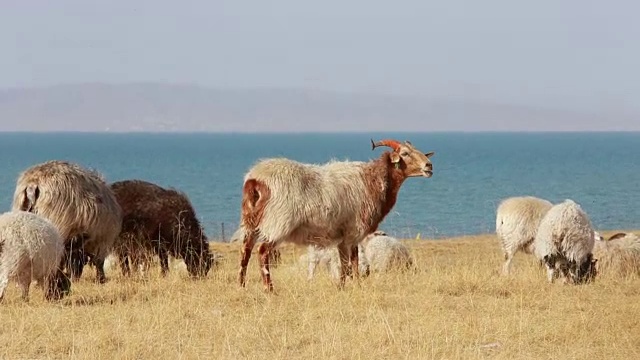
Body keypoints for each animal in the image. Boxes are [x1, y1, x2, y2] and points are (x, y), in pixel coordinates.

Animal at [235, 136, 436, 292]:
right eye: (405, 154)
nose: (429, 166)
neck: (372, 180)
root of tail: (256, 179)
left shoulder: (342, 236)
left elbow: (346, 263)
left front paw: (344, 286)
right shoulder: (354, 231)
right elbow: (351, 263)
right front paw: (353, 286)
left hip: (251, 221)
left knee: (245, 251)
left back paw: (242, 285)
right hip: (278, 222)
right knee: (262, 252)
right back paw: (269, 289)